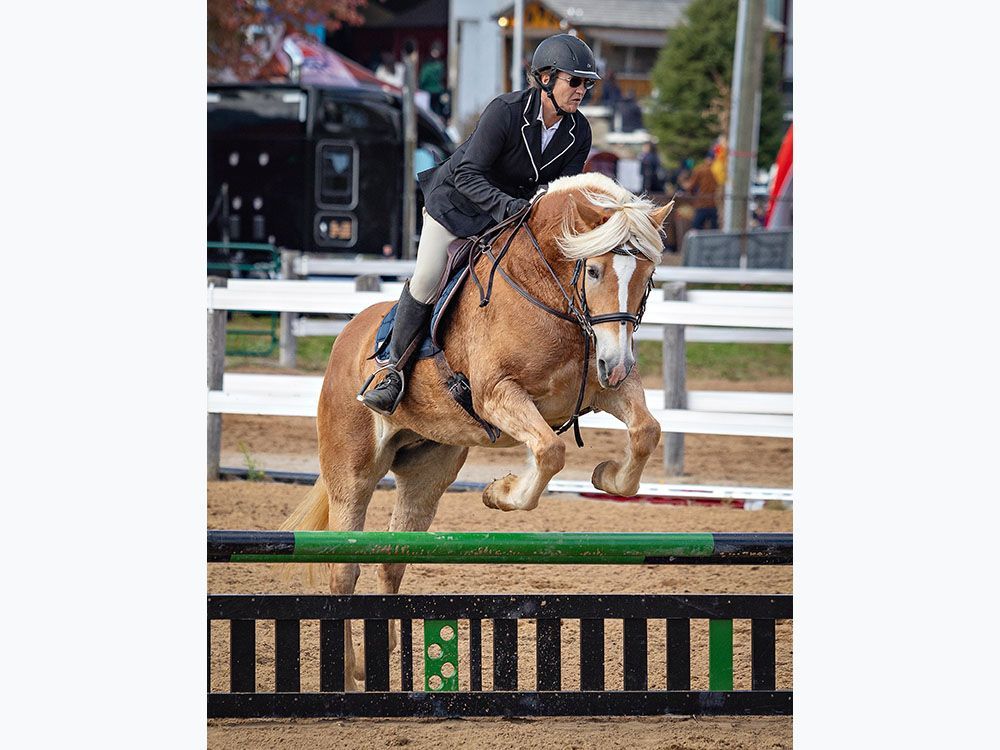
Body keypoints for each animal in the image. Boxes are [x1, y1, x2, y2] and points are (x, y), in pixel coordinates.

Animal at [280, 172, 673, 688]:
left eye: (647, 278)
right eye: (593, 272)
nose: (619, 363)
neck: (548, 292)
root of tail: (348, 334)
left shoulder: (603, 389)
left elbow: (646, 430)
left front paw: (605, 476)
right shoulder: (497, 393)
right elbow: (550, 451)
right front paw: (500, 492)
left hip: (428, 471)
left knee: (392, 557)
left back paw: (375, 658)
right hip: (353, 471)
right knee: (344, 569)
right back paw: (346, 678)